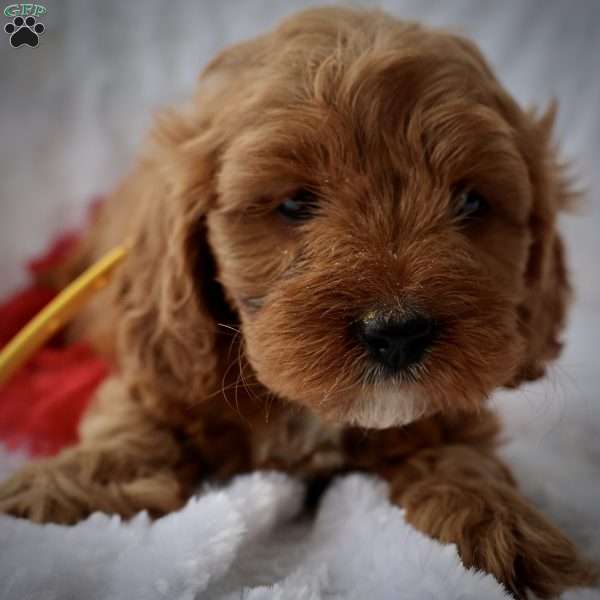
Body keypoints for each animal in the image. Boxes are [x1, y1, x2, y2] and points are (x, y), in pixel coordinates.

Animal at [2, 5, 596, 600]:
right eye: (294, 204)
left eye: (471, 202)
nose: (397, 331)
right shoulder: (168, 365)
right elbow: (130, 430)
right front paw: (56, 489)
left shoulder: (449, 415)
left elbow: (461, 458)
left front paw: (502, 526)